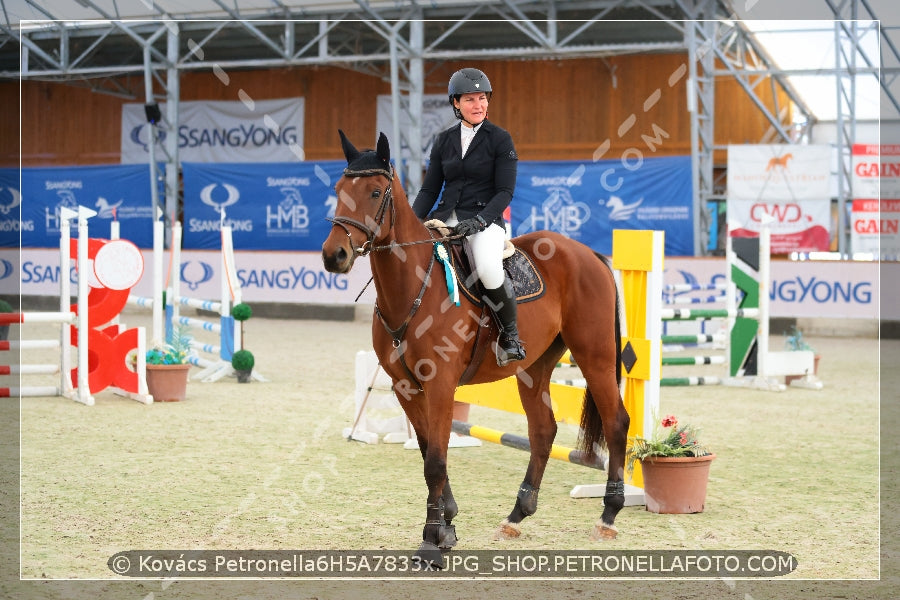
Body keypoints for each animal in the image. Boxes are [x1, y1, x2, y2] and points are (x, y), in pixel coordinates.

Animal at [320, 130, 628, 564]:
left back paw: (608, 516)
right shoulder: (405, 386)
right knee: (543, 430)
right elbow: (428, 453)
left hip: (594, 356)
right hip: (534, 367)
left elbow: (435, 460)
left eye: (376, 191)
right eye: (338, 190)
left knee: (616, 422)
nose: (335, 256)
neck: (414, 287)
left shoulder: (440, 385)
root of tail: (590, 254)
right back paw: (516, 516)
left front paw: (432, 540)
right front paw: (446, 523)